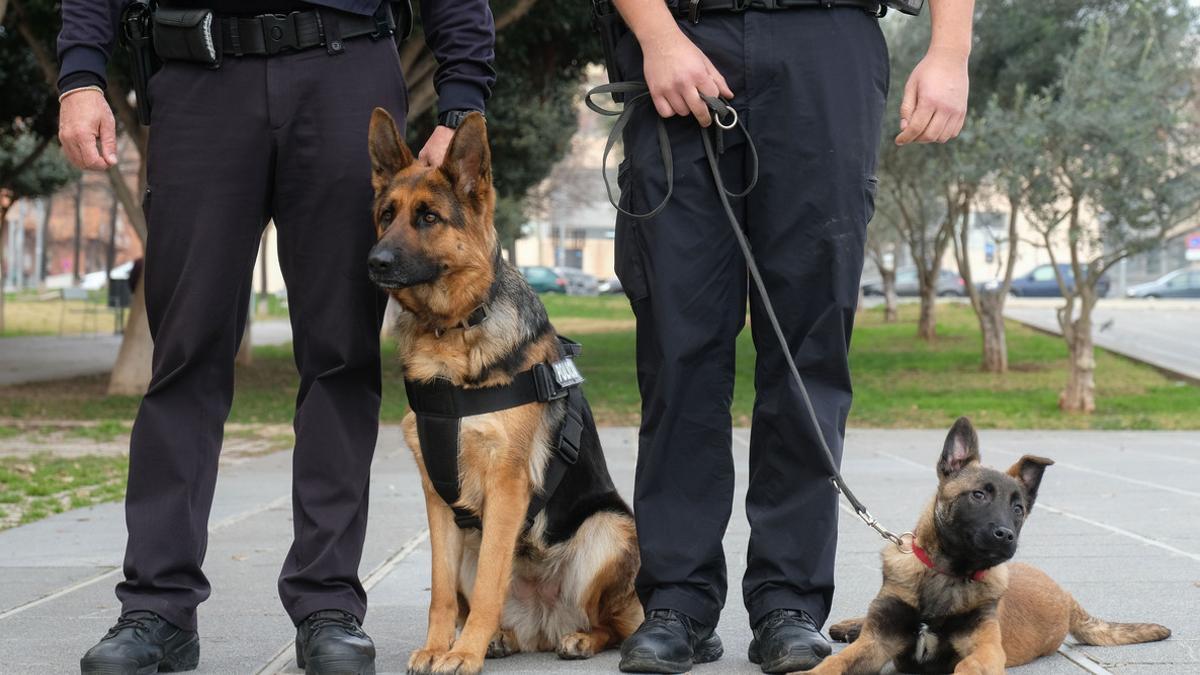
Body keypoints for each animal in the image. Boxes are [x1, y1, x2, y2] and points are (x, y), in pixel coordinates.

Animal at [364, 107, 643, 667]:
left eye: (429, 217)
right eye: (387, 214)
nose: (375, 262)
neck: (451, 333)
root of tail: (545, 622)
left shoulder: (508, 486)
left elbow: (493, 578)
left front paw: (462, 654)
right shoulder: (437, 495)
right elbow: (442, 589)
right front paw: (439, 647)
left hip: (608, 529)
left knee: (614, 621)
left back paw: (579, 639)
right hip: (473, 537)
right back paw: (500, 639)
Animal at [806, 417, 1171, 667]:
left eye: (1018, 509)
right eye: (978, 495)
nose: (1006, 535)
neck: (947, 575)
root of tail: (1067, 597)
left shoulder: (985, 651)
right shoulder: (876, 642)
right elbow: (831, 665)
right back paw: (850, 625)